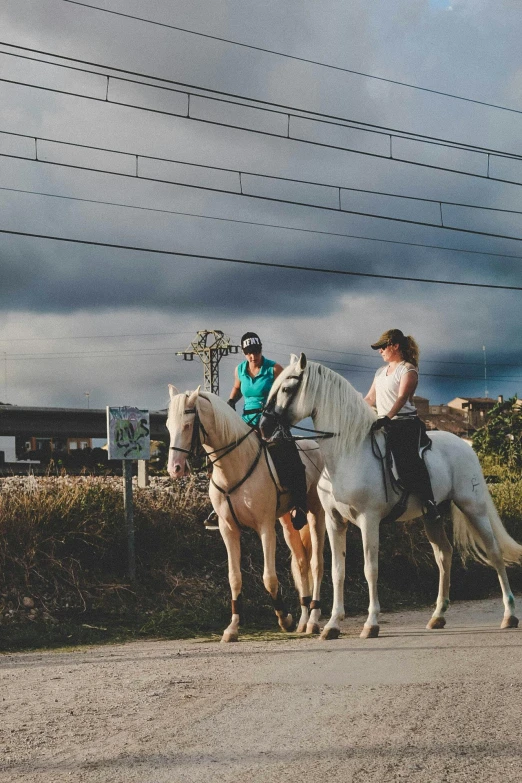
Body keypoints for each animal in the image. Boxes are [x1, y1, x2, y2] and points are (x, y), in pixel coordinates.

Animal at [166, 386, 324, 644]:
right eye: (169, 425)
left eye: (188, 425)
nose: (174, 469)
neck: (235, 465)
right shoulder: (228, 529)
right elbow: (234, 578)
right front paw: (232, 628)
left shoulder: (265, 528)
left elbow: (269, 578)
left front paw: (284, 619)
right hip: (289, 523)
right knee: (301, 564)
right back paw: (303, 620)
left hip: (316, 514)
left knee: (316, 563)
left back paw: (312, 620)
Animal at [260, 358, 520, 640]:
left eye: (287, 388)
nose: (263, 426)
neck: (347, 454)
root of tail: (465, 446)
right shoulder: (334, 521)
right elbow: (338, 571)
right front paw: (332, 625)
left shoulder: (369, 520)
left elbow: (370, 569)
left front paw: (371, 623)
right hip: (432, 516)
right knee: (444, 555)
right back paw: (437, 616)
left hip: (473, 507)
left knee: (494, 552)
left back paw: (509, 614)